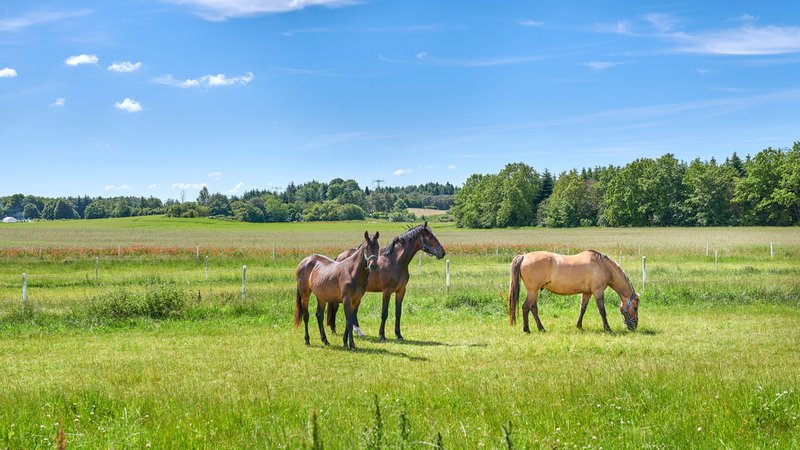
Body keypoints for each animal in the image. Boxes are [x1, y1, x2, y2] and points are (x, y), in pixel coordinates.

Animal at [508, 250, 639, 333]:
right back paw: (527, 329)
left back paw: (541, 328)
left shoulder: (587, 293)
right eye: (636, 307)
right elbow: (602, 311)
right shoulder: (598, 292)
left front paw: (579, 326)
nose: (634, 326)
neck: (603, 266)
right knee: (526, 307)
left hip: (534, 291)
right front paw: (607, 328)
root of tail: (524, 256)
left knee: (533, 309)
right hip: (532, 291)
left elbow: (582, 309)